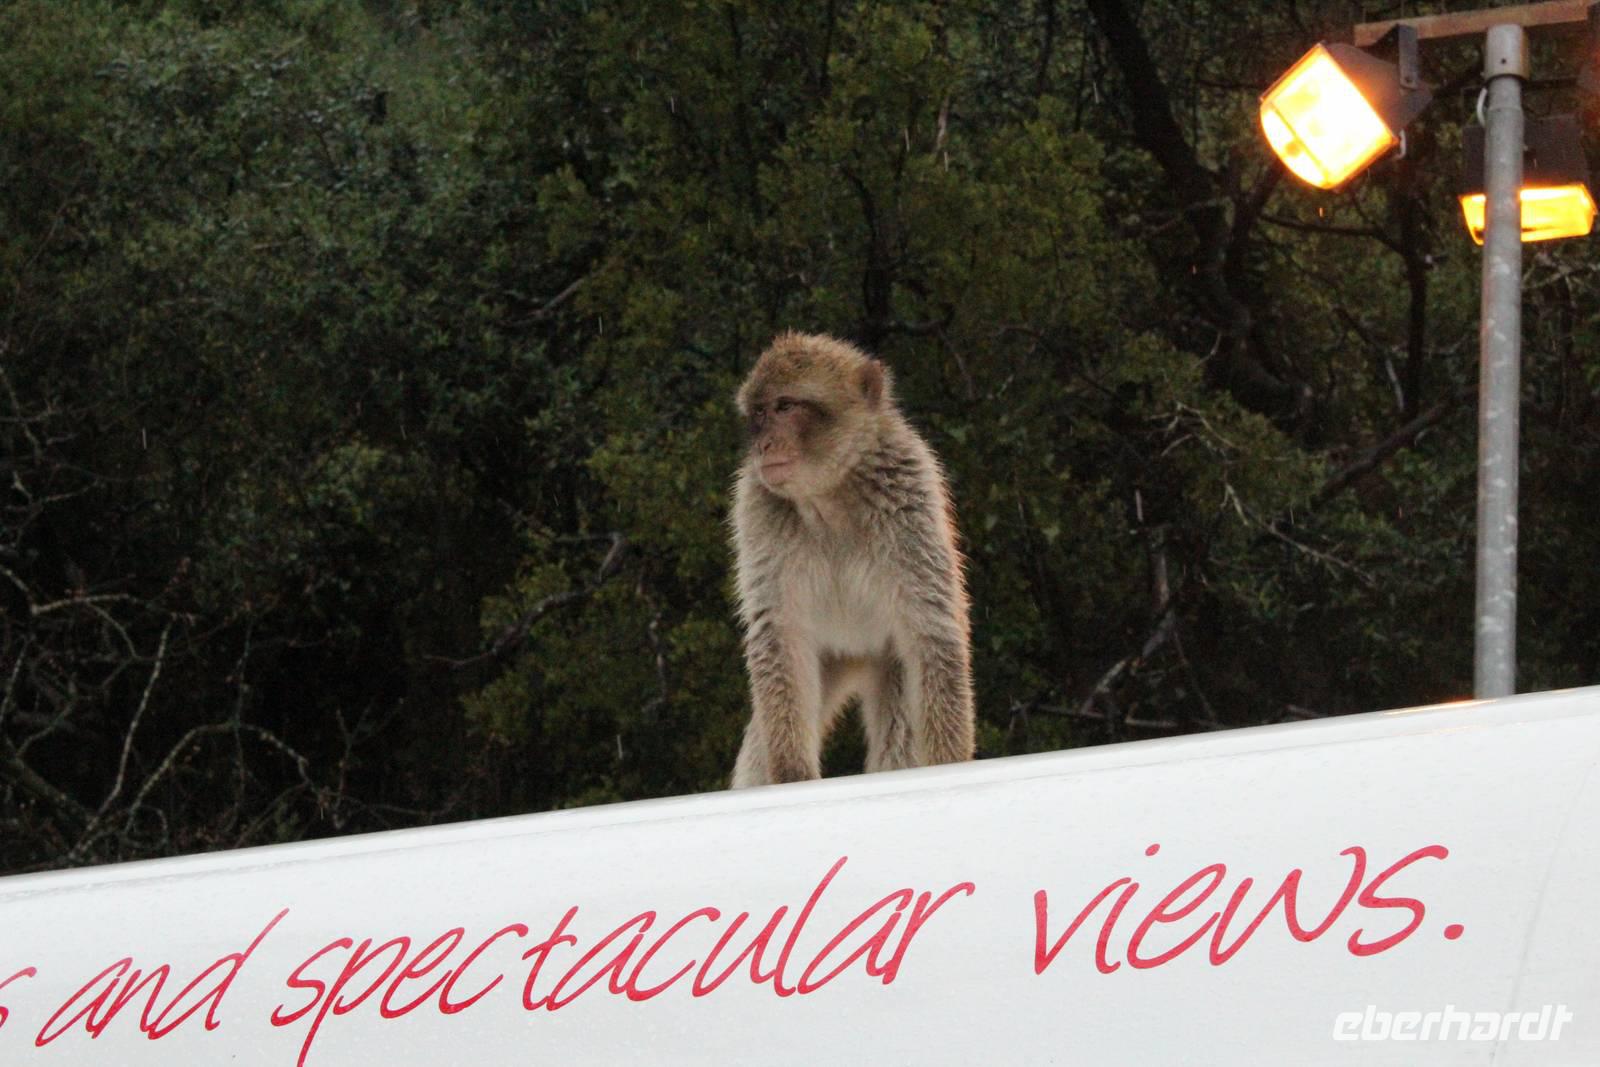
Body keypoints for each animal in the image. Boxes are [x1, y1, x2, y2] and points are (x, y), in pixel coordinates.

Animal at [728, 332, 974, 788]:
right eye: (759, 413)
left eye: (785, 406)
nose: (763, 444)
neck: (830, 496)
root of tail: (855, 654)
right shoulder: (756, 507)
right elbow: (779, 632)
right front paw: (793, 774)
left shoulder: (910, 495)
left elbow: (930, 631)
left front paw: (949, 762)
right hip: (831, 658)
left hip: (885, 659)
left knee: (901, 727)